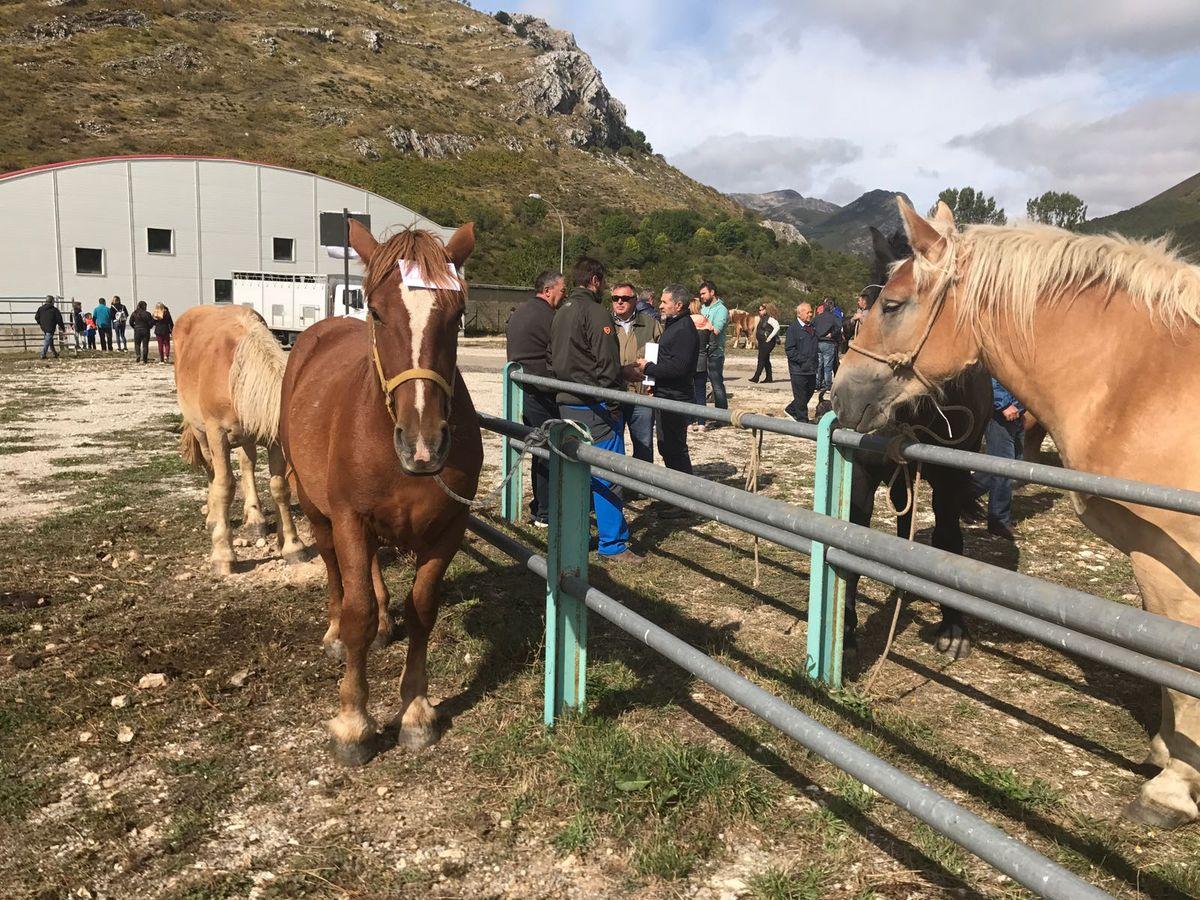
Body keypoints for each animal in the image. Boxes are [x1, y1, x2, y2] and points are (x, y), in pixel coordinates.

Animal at [175, 309, 307, 578]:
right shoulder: (217, 434)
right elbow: (224, 485)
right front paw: (223, 554)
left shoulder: (273, 437)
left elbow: (279, 487)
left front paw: (292, 545)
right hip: (201, 432)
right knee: (212, 471)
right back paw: (213, 518)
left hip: (246, 436)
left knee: (247, 465)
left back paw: (255, 519)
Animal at [280, 222, 482, 763]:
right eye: (375, 310)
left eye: (457, 316)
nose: (423, 443)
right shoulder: (349, 518)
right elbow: (357, 612)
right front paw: (353, 722)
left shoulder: (448, 528)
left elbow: (422, 609)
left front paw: (415, 711)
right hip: (318, 511)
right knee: (335, 571)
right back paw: (334, 632)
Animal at [830, 195, 1200, 830]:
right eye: (860, 302)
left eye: (892, 304)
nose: (839, 394)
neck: (1139, 385)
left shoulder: (1169, 548)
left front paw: (1172, 786)